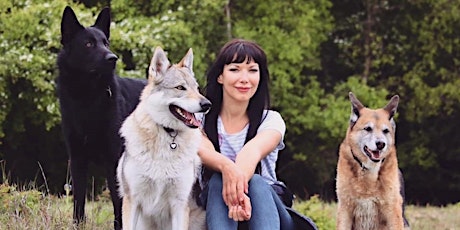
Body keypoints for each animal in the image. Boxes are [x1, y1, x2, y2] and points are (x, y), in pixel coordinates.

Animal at [56, 6, 146, 229]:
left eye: (106, 43)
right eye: (88, 44)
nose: (113, 58)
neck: (87, 99)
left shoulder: (113, 160)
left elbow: (118, 202)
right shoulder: (77, 158)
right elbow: (78, 201)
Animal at [334, 92, 410, 229]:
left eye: (386, 131)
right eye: (368, 128)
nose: (381, 144)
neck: (369, 170)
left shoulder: (393, 211)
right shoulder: (345, 210)